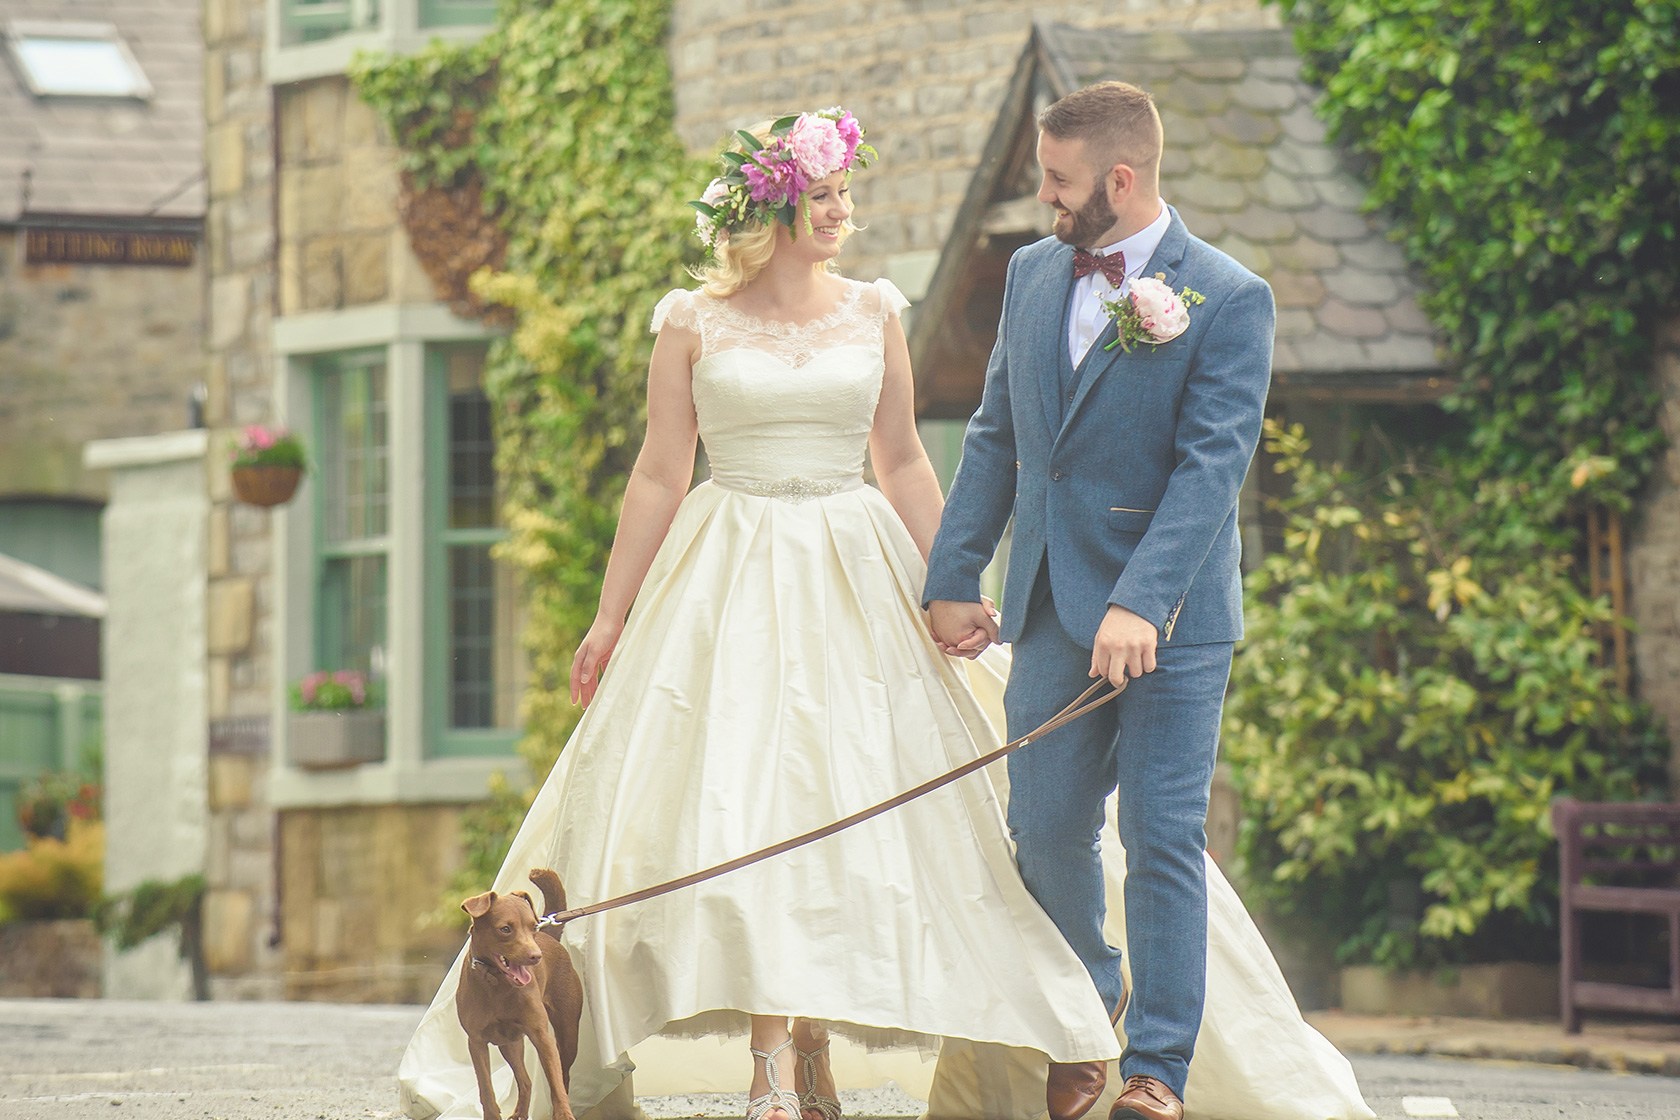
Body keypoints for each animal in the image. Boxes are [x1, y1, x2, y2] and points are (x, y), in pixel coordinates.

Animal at [456, 866, 588, 1120]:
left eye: (532, 927)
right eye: (505, 929)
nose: (536, 956)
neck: (496, 983)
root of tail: (549, 937)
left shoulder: (543, 1037)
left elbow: (556, 1083)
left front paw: (563, 1114)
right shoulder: (476, 1041)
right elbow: (486, 1090)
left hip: (567, 1034)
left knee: (563, 1076)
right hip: (510, 1042)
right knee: (525, 1080)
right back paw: (519, 1113)